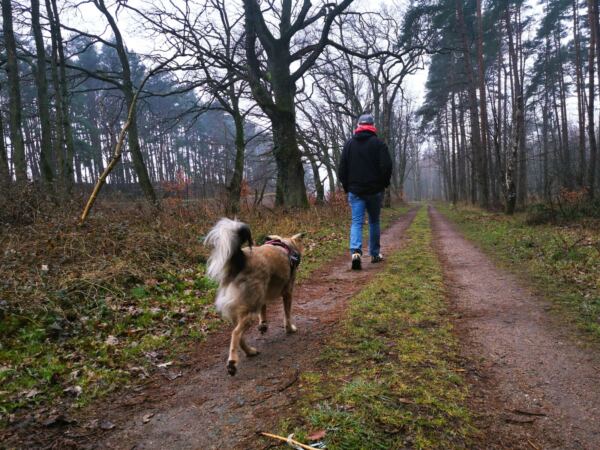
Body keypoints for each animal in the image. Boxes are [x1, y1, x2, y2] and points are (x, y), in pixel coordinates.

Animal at [204, 218, 304, 376]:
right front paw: (289, 328)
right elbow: (287, 314)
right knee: (235, 334)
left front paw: (263, 324)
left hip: (239, 310)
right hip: (249, 310)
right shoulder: (288, 292)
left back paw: (249, 352)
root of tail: (239, 262)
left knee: (239, 336)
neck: (283, 245)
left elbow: (264, 310)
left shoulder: (263, 295)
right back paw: (232, 362)